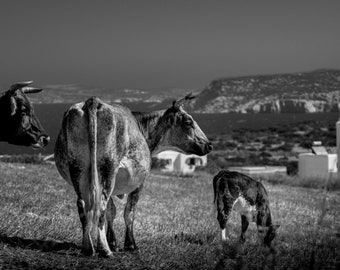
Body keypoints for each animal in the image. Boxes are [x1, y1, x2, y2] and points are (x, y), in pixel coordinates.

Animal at [54, 94, 211, 256]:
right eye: (188, 122)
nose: (209, 144)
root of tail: (93, 101)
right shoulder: (139, 182)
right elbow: (129, 213)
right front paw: (130, 245)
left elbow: (112, 211)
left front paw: (113, 242)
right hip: (108, 168)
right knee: (101, 206)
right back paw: (105, 250)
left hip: (78, 167)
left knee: (83, 204)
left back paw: (88, 248)